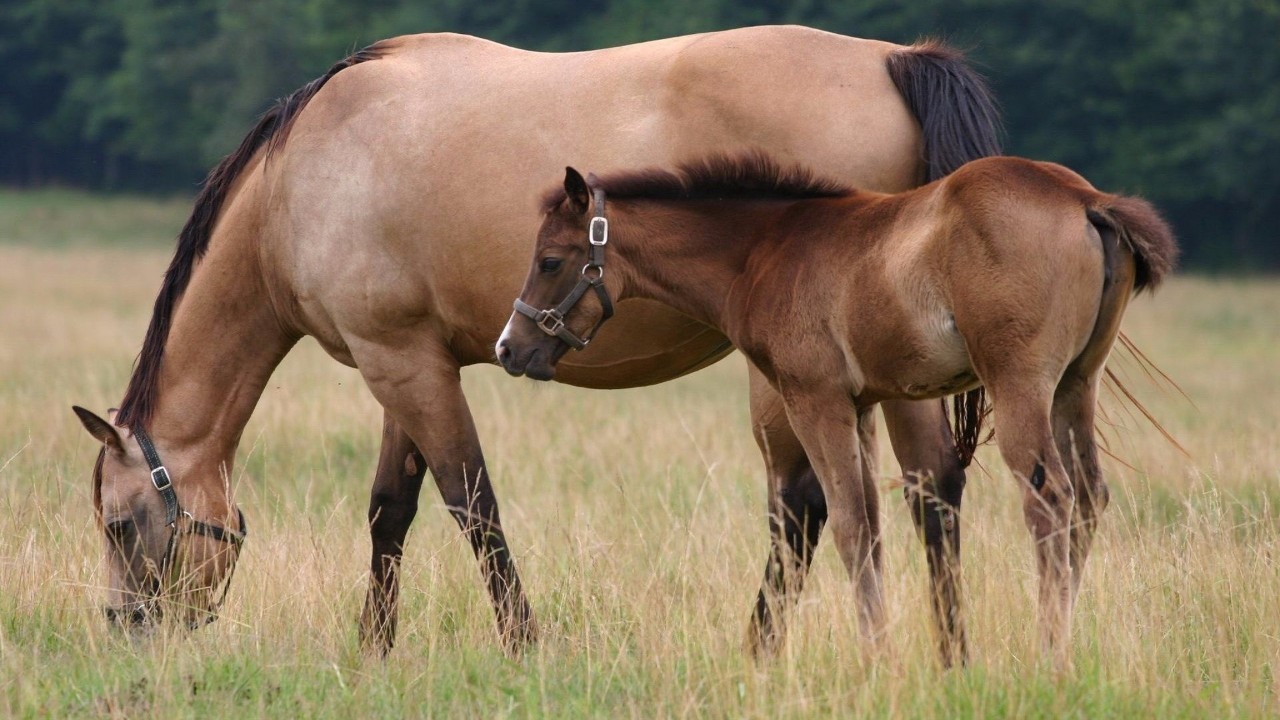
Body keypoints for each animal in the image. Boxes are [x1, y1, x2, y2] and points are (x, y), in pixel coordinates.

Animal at [72, 23, 998, 661]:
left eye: (119, 526)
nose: (126, 630)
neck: (299, 181)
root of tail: (894, 59)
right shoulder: (408, 361)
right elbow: (390, 509)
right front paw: (374, 647)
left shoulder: (399, 363)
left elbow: (471, 505)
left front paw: (523, 643)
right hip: (890, 372)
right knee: (930, 491)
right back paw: (949, 654)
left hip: (798, 378)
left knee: (806, 507)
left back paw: (762, 650)